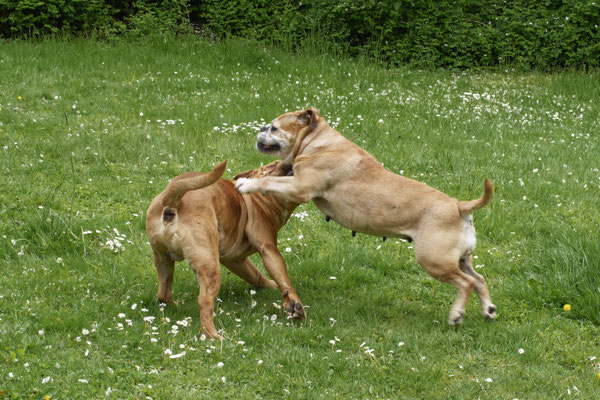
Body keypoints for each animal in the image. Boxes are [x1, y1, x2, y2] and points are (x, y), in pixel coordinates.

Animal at [145, 159, 304, 338]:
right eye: (272, 165)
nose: (290, 163)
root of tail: (173, 203)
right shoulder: (268, 249)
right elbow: (283, 279)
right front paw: (294, 303)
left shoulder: (235, 260)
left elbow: (257, 276)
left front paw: (271, 286)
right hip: (209, 265)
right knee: (204, 301)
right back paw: (214, 336)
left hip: (163, 260)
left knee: (163, 294)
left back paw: (176, 307)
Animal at [236, 108, 496, 326]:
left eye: (274, 128)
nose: (261, 127)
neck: (318, 142)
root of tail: (458, 206)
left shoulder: (299, 186)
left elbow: (270, 181)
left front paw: (246, 184)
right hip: (459, 259)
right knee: (479, 278)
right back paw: (488, 310)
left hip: (434, 260)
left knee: (467, 283)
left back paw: (456, 315)